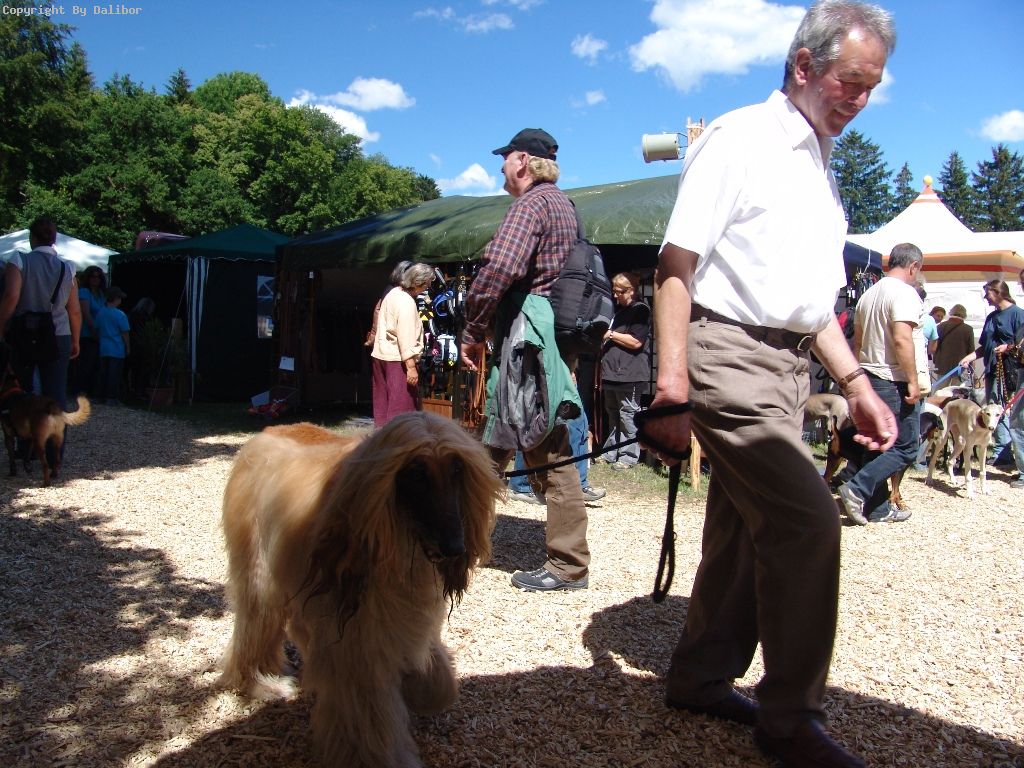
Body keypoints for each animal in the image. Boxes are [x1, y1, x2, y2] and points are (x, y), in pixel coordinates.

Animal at [0, 349, 90, 486]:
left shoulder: (8, 436)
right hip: (57, 439)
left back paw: (46, 483)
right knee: (56, 460)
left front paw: (13, 472)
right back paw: (54, 475)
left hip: (40, 443)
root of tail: (52, 407)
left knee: (45, 465)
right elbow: (27, 455)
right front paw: (27, 467)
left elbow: (11, 458)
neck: (11, 390)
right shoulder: (30, 438)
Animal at [219, 412, 503, 768]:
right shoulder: (356, 638)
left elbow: (437, 684)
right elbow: (367, 711)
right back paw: (257, 681)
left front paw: (421, 689)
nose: (455, 548)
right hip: (259, 565)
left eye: (456, 469)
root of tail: (266, 432)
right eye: (416, 473)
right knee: (256, 617)